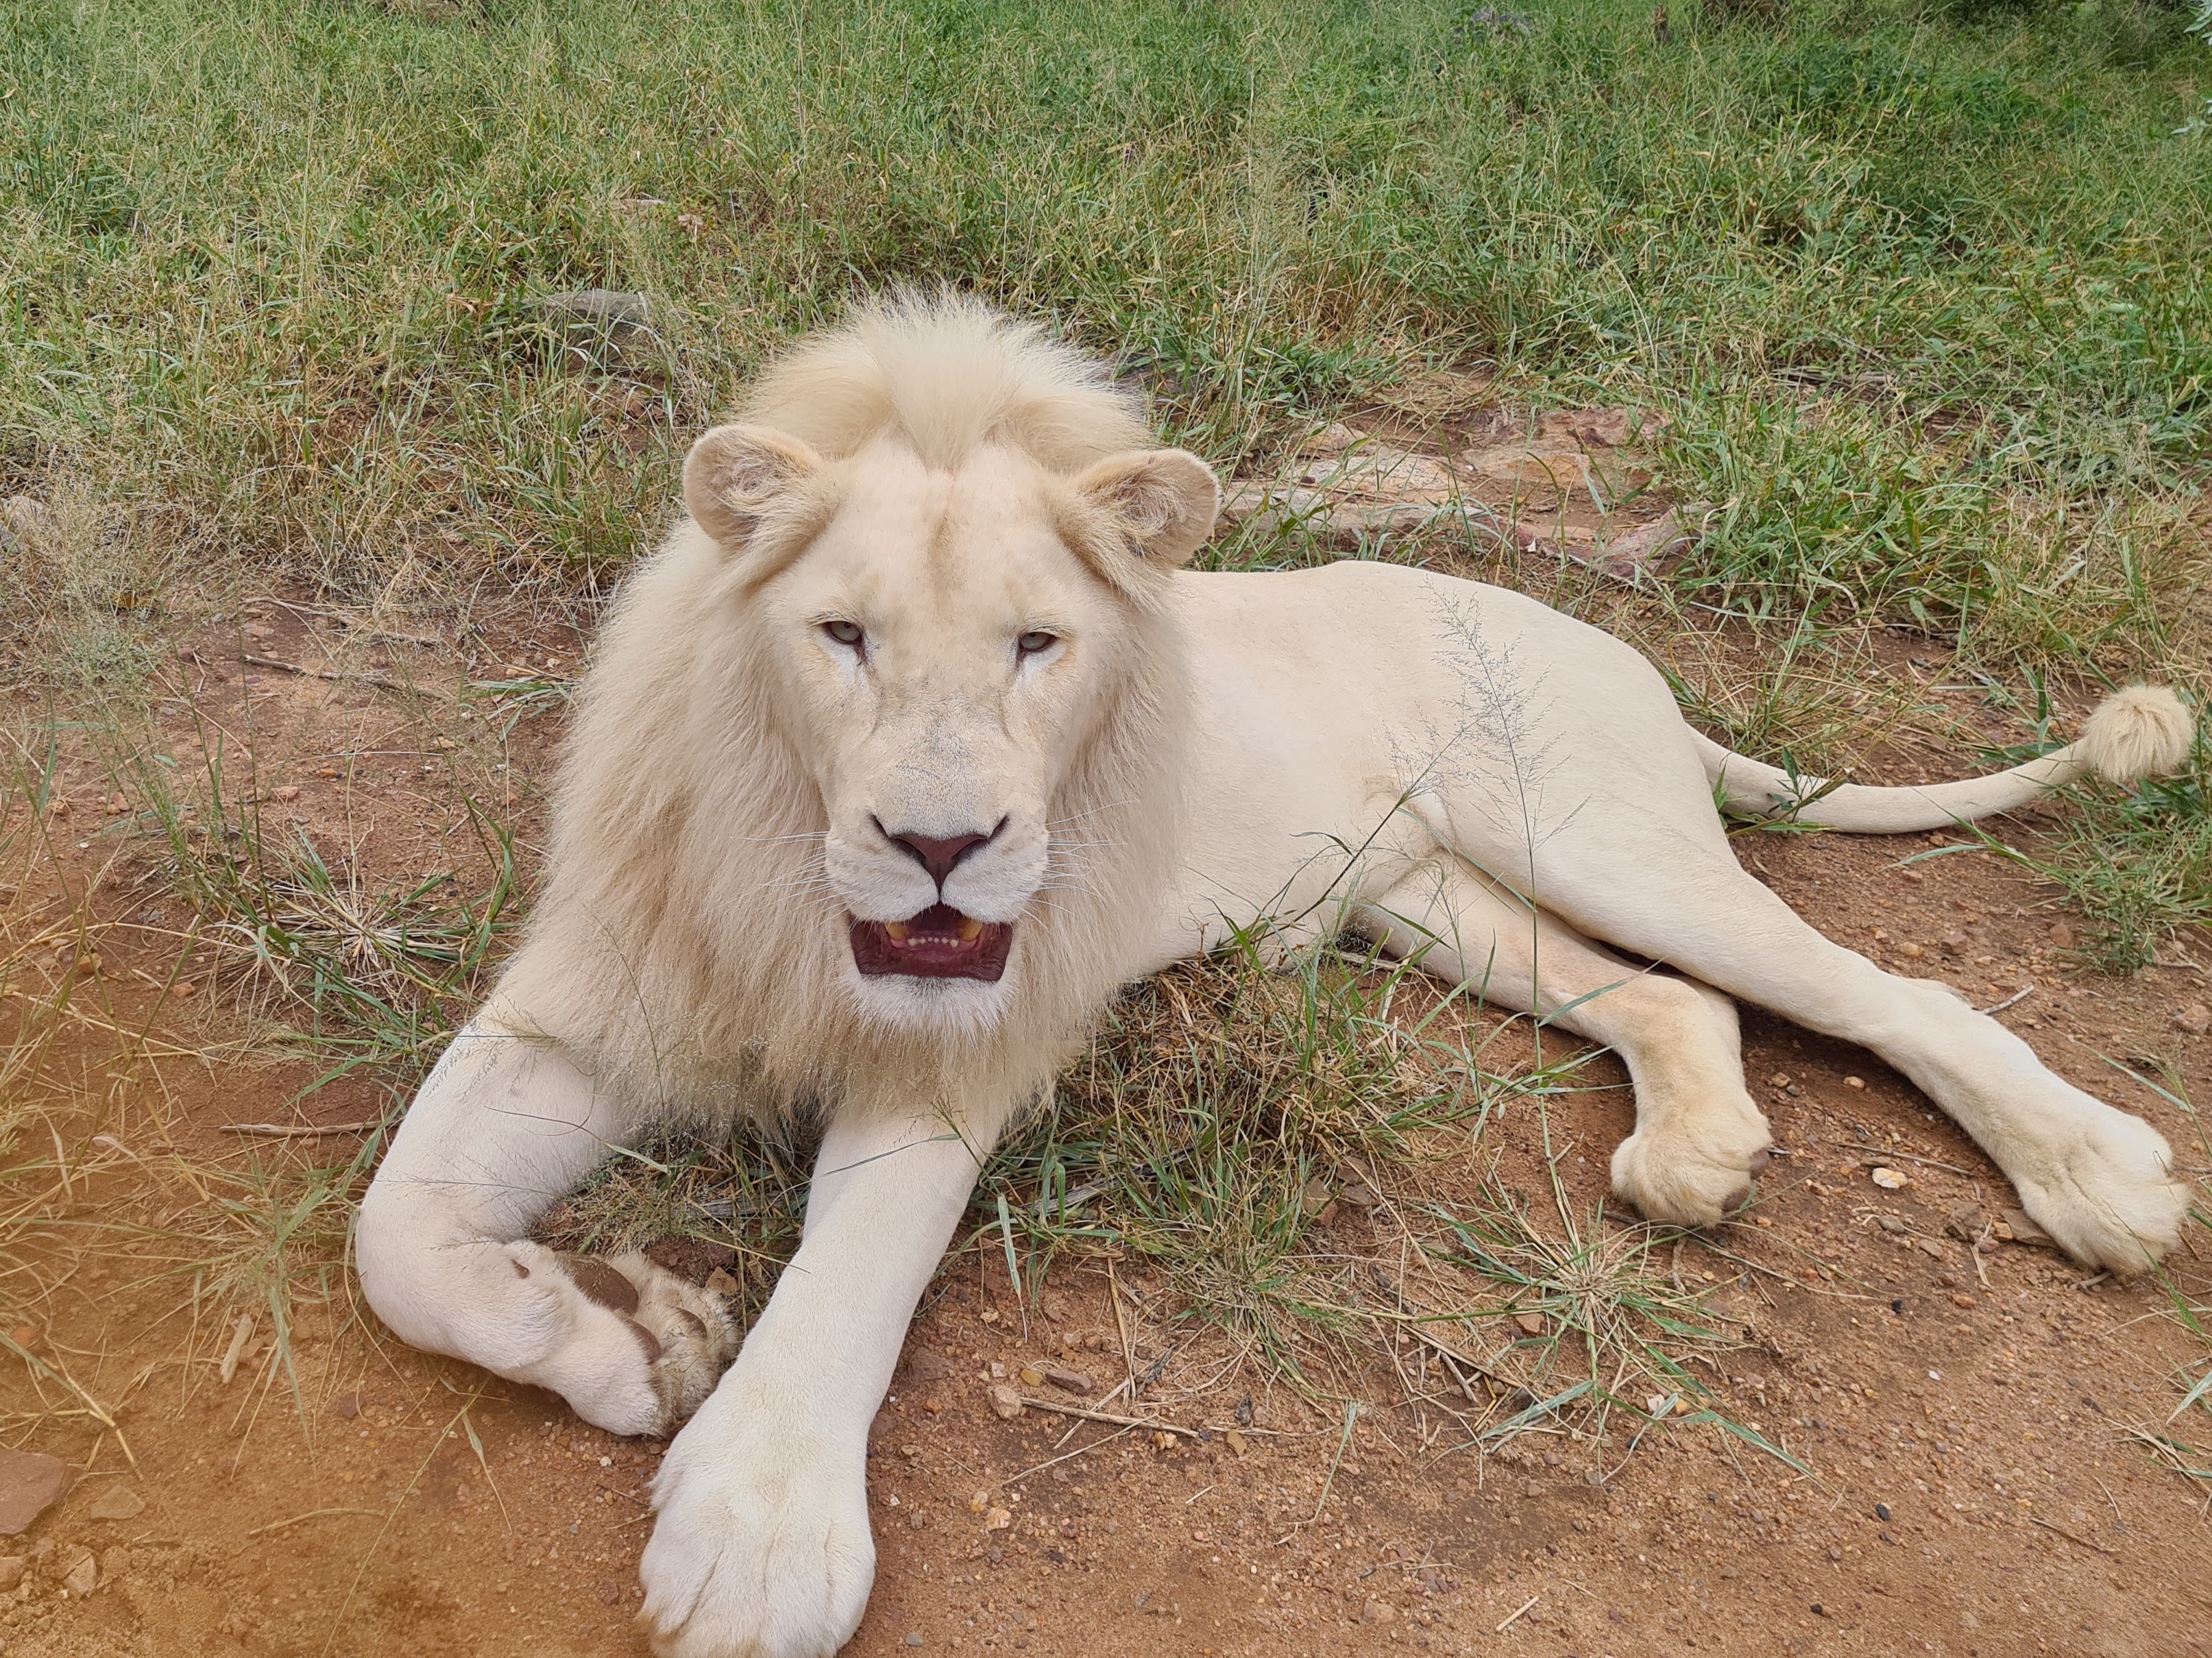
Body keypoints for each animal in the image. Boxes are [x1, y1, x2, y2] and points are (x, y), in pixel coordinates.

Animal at [356, 292, 2195, 1658]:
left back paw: (2097, 1174)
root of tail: (1620, 652)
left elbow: (849, 1276)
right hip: (1435, 900)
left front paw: (756, 1529)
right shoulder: (597, 992)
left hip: (1587, 827)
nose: (944, 845)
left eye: (1037, 643)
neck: (782, 872)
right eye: (844, 637)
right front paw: (632, 1337)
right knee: (1675, 1001)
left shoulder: (969, 1040)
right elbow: (398, 1238)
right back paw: (1695, 1155)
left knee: (1878, 991)